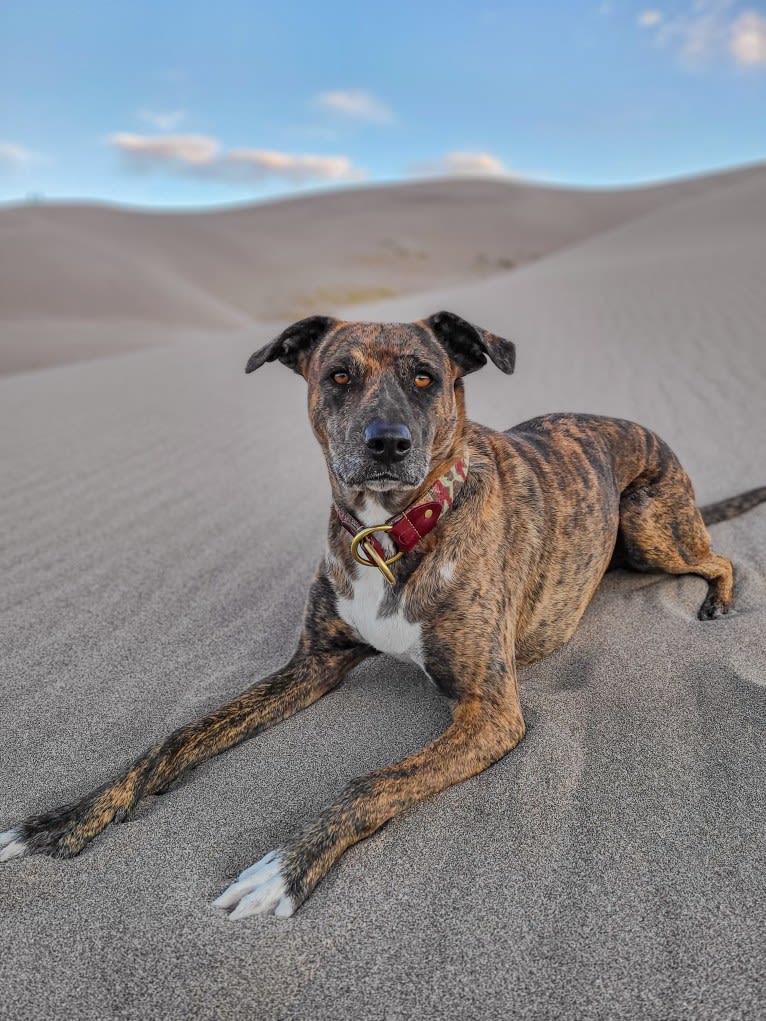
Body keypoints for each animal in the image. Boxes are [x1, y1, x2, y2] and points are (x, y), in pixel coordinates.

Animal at [1, 310, 766, 918]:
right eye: (339, 374)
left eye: (426, 377)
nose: (388, 441)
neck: (390, 530)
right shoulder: (314, 662)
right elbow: (178, 737)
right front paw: (64, 820)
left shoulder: (491, 710)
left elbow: (373, 782)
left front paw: (284, 869)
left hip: (653, 526)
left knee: (719, 560)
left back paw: (717, 602)